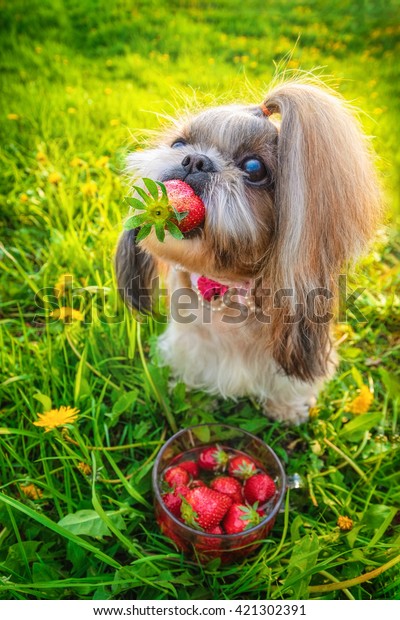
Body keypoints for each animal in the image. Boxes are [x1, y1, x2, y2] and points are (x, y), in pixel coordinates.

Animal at [114, 80, 380, 424]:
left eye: (254, 168)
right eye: (178, 144)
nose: (195, 160)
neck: (225, 288)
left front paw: (287, 409)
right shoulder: (190, 345)